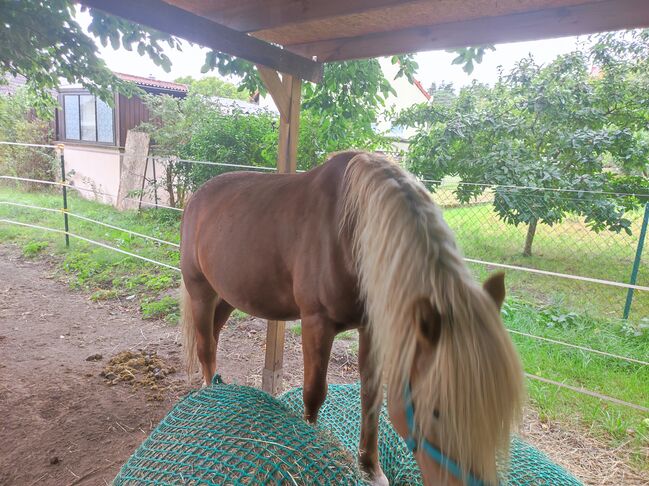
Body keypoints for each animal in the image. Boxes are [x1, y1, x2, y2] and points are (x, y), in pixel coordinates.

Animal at [180, 152, 524, 486]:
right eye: (437, 412)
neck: (351, 231)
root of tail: (196, 197)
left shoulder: (370, 328)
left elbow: (371, 395)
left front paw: (371, 468)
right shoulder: (317, 324)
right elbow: (314, 392)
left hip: (226, 296)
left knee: (212, 337)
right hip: (201, 292)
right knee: (205, 347)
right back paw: (210, 393)